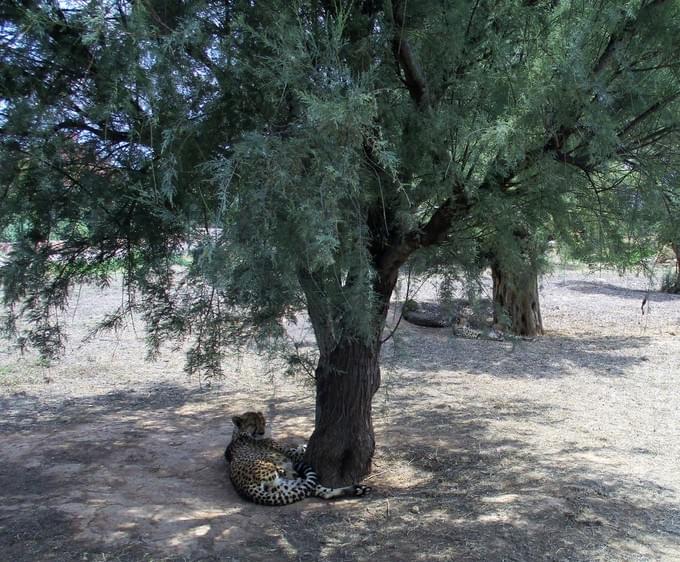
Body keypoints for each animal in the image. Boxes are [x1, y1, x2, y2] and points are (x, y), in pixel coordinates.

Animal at [226, 410, 370, 506]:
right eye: (252, 424)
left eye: (263, 422)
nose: (262, 432)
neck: (239, 433)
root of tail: (244, 488)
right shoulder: (292, 454)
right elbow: (299, 451)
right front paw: (304, 446)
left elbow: (299, 448)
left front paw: (303, 445)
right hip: (281, 477)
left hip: (288, 485)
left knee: (322, 492)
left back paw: (358, 490)